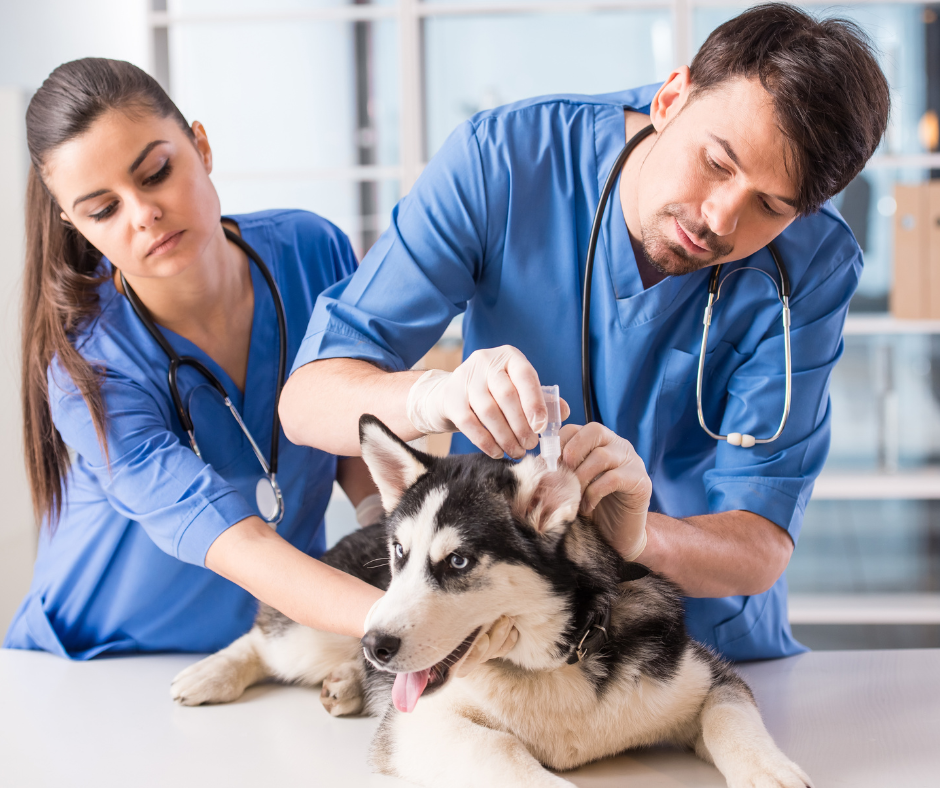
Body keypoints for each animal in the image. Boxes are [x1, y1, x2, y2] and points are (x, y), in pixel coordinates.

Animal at [173, 412, 812, 788]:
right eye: (402, 553)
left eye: (457, 563)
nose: (375, 646)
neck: (555, 659)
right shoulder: (421, 728)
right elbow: (503, 752)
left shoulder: (702, 676)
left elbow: (730, 715)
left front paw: (772, 771)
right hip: (313, 626)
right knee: (266, 635)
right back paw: (214, 672)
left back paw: (349, 682)